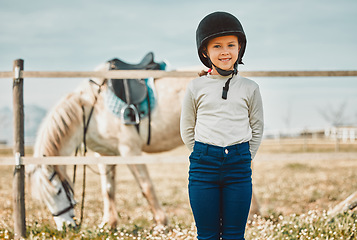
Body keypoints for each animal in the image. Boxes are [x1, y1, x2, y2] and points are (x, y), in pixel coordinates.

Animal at [25, 53, 258, 230]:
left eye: (57, 190)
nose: (66, 227)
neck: (93, 106)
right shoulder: (105, 154)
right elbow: (108, 189)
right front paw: (109, 224)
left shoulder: (130, 150)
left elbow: (146, 187)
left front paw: (162, 222)